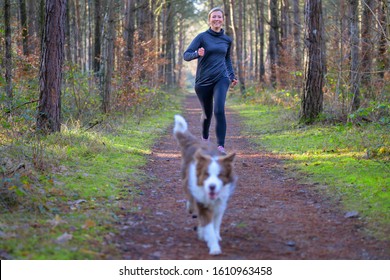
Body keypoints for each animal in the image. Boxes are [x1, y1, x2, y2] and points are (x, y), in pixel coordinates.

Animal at [174, 115, 238, 255]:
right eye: (206, 174)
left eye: (220, 175)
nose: (212, 187)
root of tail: (196, 142)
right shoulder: (202, 204)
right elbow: (208, 226)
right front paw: (214, 247)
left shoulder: (220, 205)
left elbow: (215, 224)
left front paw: (215, 237)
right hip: (186, 181)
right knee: (189, 197)